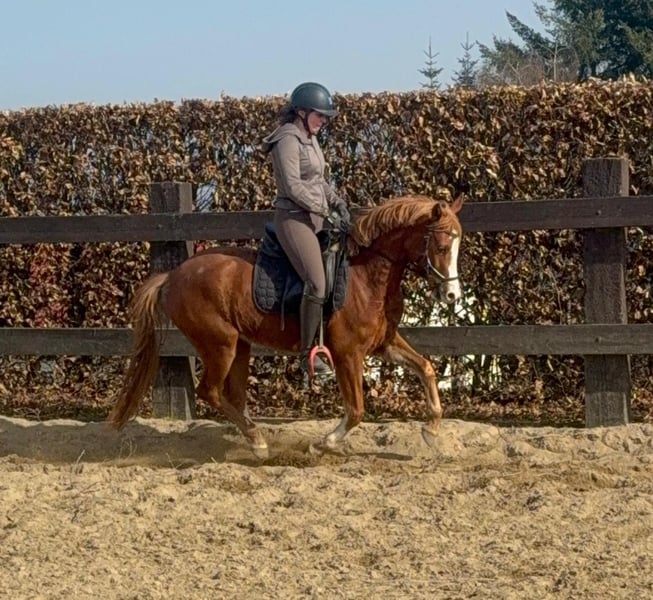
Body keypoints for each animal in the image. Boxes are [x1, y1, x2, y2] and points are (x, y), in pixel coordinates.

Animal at [108, 194, 464, 458]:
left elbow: (426, 368)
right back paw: (257, 441)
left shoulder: (384, 344)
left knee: (232, 396)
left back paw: (255, 438)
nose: (452, 295)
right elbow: (357, 410)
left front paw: (431, 430)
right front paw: (322, 444)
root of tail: (173, 275)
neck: (366, 277)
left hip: (239, 347)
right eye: (442, 247)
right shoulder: (348, 355)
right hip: (219, 346)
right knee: (209, 391)